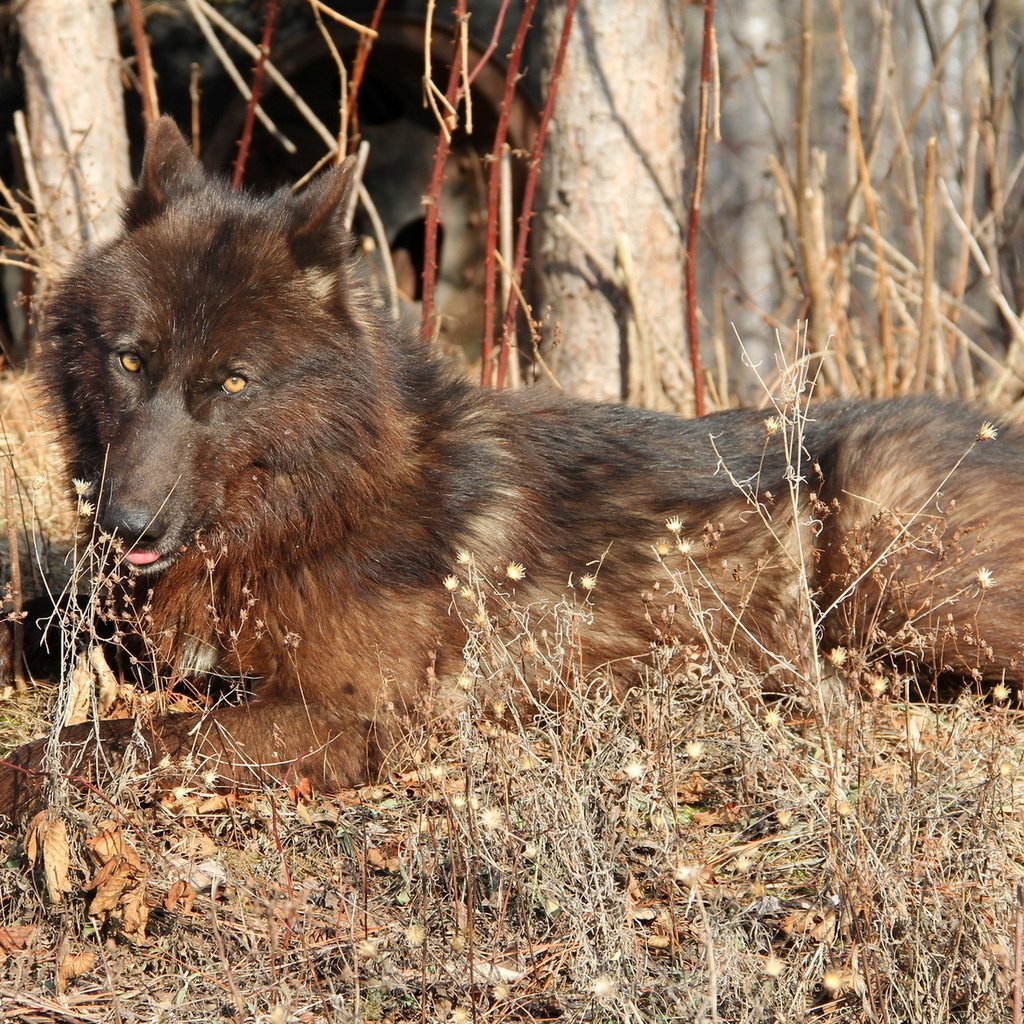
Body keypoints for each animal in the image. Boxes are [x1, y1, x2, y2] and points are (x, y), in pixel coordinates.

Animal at [2, 119, 1024, 819]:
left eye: (233, 382)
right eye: (131, 362)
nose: (126, 525)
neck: (317, 505)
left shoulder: (349, 718)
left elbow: (103, 742)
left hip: (898, 555)